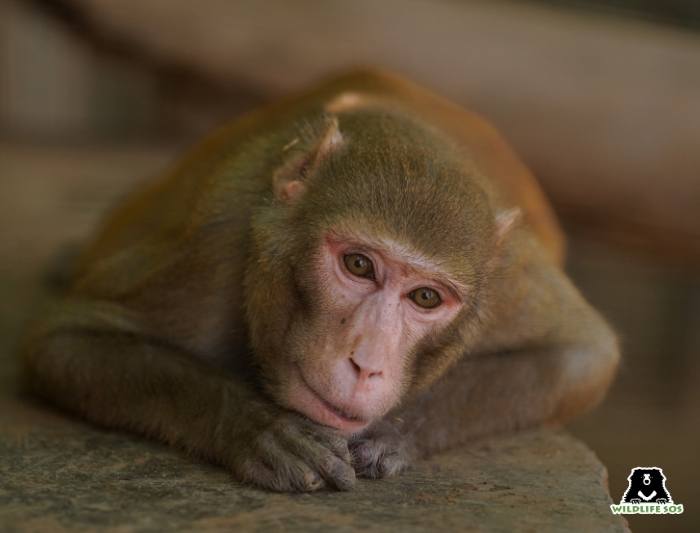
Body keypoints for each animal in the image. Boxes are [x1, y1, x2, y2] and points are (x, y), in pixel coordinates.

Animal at [21, 69, 619, 492]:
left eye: (426, 297)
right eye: (358, 265)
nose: (366, 364)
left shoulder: (509, 274)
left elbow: (585, 357)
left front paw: (395, 431)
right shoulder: (218, 237)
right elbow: (63, 343)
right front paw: (260, 429)